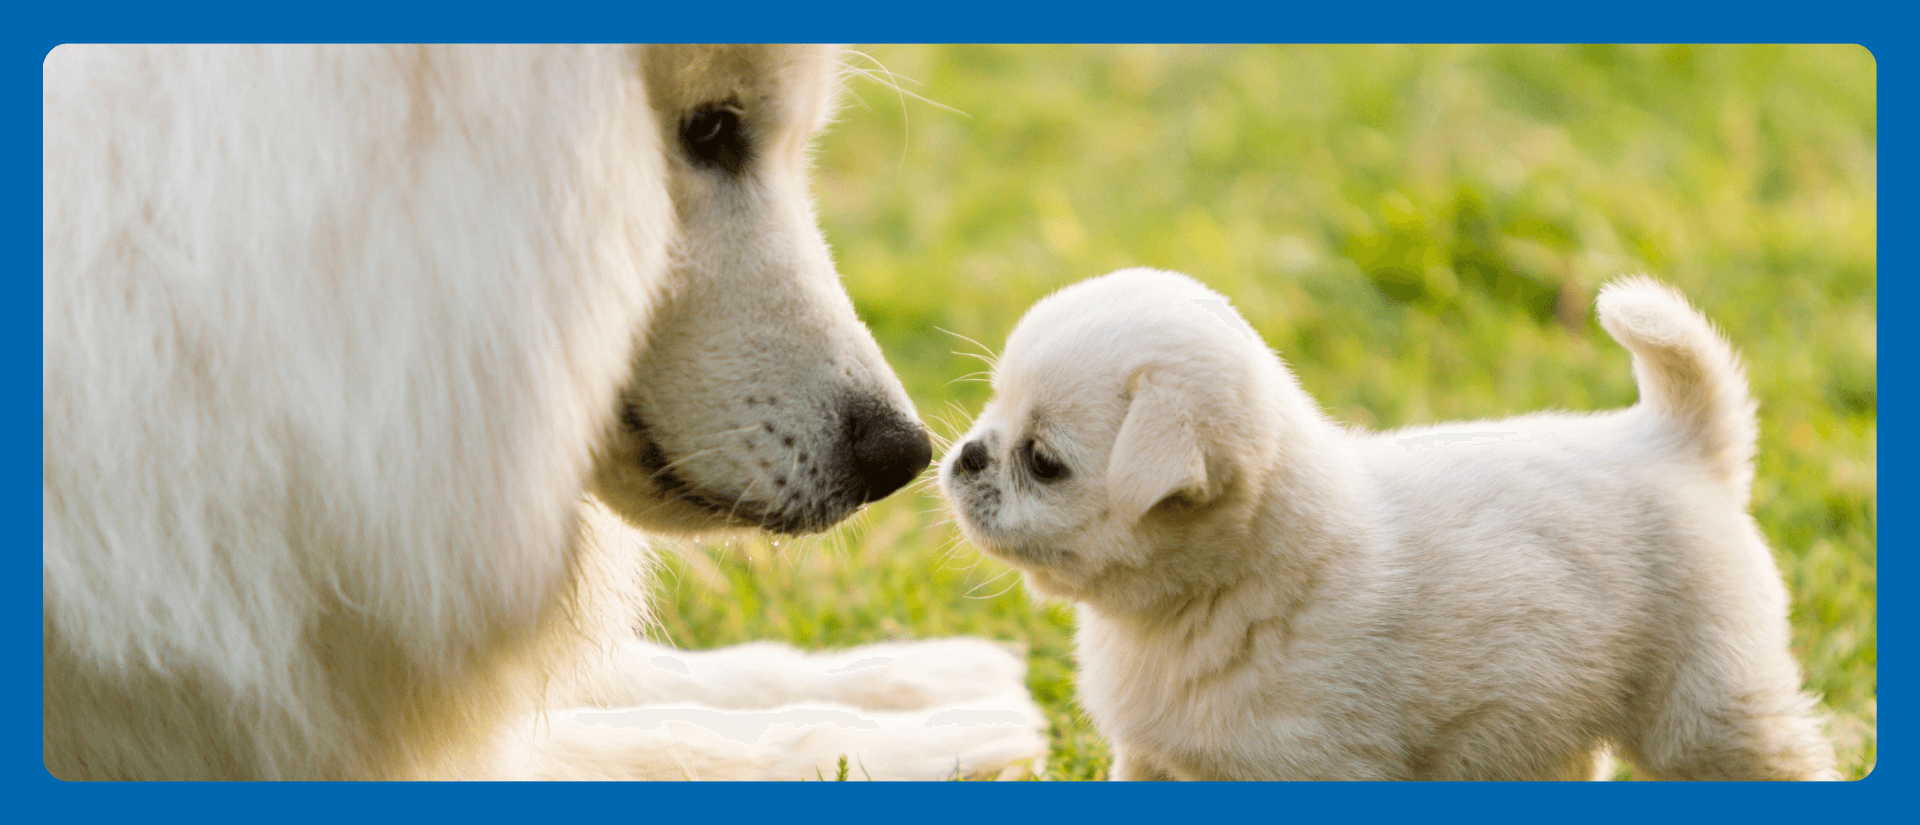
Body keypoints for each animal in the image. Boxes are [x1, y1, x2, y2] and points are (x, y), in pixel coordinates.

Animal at [936, 268, 1835, 778]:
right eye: (991, 411)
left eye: (1043, 461)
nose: (967, 456)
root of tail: (1678, 440)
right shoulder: (1152, 762)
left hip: (1707, 712)